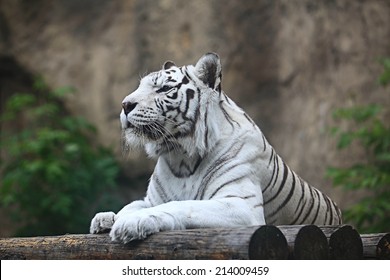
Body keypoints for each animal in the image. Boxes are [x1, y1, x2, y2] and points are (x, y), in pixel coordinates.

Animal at [90, 52, 340, 243]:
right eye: (140, 86)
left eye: (163, 89)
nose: (125, 105)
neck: (180, 155)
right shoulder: (151, 199)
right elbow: (132, 205)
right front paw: (106, 218)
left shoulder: (242, 205)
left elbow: (184, 205)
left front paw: (131, 223)